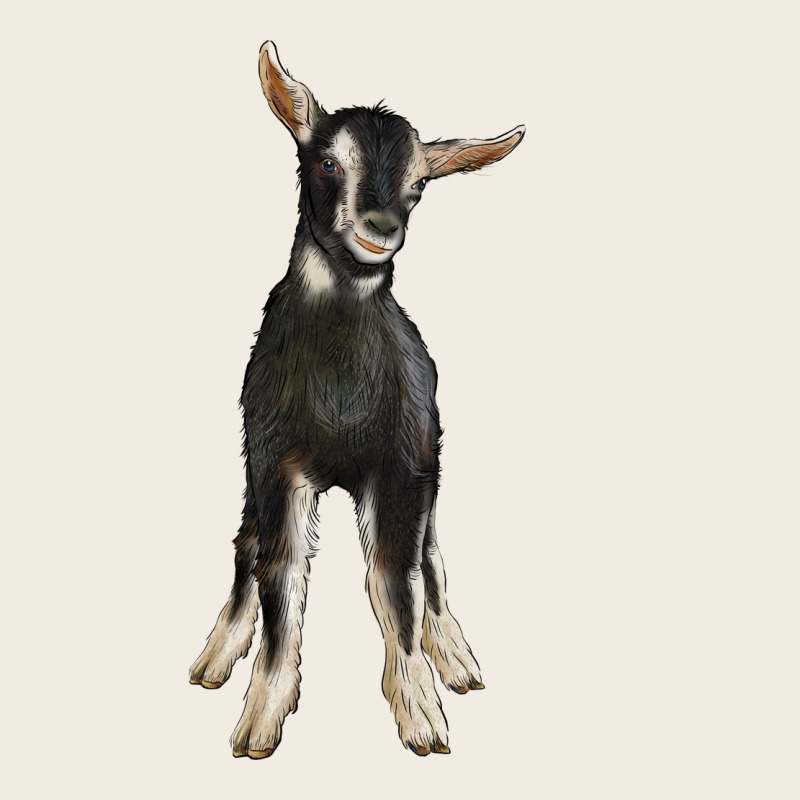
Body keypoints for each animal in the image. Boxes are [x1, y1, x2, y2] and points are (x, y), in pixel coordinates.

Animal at [190, 40, 525, 758]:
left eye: (421, 183)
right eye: (326, 161)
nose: (381, 228)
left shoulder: (401, 467)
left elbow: (394, 579)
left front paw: (420, 712)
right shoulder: (277, 464)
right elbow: (281, 572)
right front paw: (260, 718)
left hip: (430, 459)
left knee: (430, 556)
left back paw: (455, 657)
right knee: (246, 542)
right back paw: (216, 652)